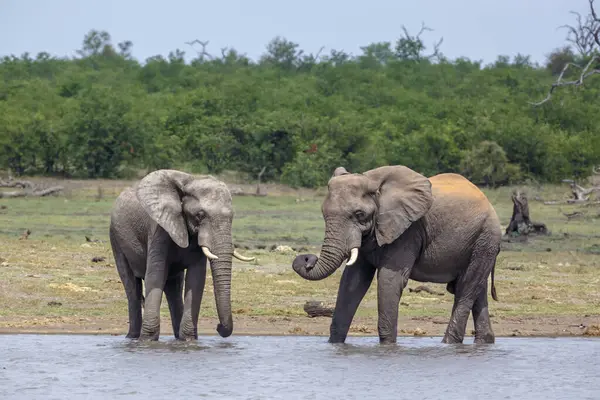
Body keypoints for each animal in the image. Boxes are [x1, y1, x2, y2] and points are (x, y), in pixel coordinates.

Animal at [109, 169, 254, 340]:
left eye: (232, 217)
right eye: (200, 215)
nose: (218, 327)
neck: (190, 181)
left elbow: (196, 280)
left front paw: (189, 340)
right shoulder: (159, 228)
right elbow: (155, 275)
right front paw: (149, 340)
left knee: (174, 287)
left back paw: (178, 337)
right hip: (115, 237)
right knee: (131, 286)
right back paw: (132, 337)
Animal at [292, 164, 502, 346]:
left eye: (359, 214)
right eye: (323, 213)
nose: (307, 259)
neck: (374, 183)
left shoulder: (408, 231)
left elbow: (389, 279)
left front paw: (388, 347)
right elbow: (353, 280)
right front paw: (334, 344)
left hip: (485, 239)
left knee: (466, 289)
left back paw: (449, 343)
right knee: (477, 290)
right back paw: (485, 341)